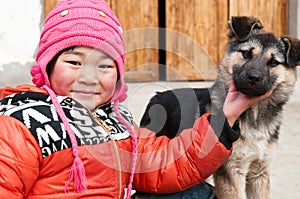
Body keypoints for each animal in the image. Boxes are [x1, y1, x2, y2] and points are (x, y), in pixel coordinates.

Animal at [139, 16, 300, 198]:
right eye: (246, 54)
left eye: (273, 62)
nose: (254, 78)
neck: (254, 116)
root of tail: (156, 96)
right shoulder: (230, 172)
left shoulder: (259, 172)